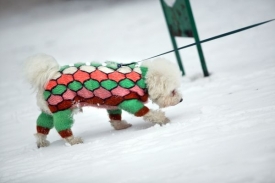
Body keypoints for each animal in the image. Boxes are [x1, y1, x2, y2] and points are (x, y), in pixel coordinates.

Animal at [24, 54, 183, 147]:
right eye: (172, 91)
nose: (181, 99)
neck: (142, 78)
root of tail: (48, 75)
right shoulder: (129, 101)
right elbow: (147, 113)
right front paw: (162, 119)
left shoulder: (113, 102)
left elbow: (115, 117)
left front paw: (121, 126)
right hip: (63, 107)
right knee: (61, 127)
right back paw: (73, 141)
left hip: (52, 107)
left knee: (42, 123)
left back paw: (41, 141)